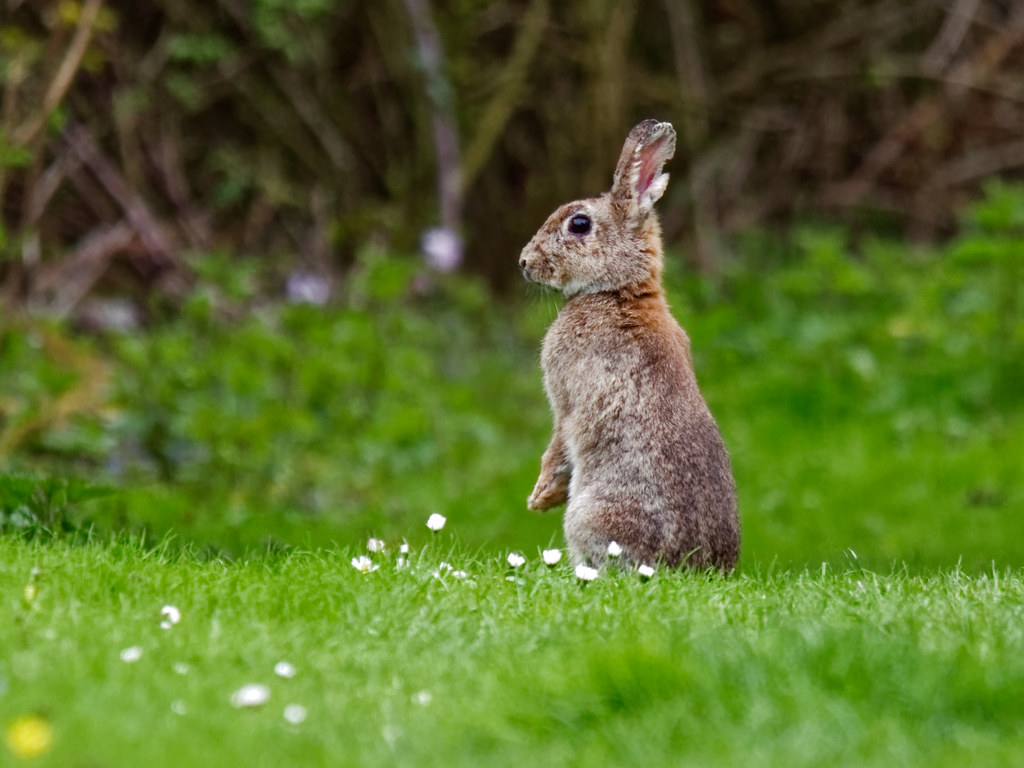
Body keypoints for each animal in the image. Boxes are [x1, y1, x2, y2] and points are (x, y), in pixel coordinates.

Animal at [519, 119, 739, 571]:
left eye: (579, 224)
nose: (524, 263)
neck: (620, 291)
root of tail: (691, 566)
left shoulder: (565, 402)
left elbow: (557, 444)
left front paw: (540, 496)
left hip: (589, 517)